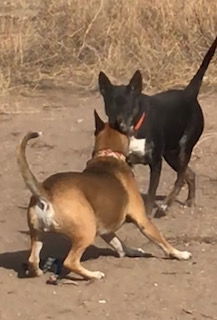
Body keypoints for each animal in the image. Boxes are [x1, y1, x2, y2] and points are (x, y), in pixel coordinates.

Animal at [17, 111, 191, 282]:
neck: (108, 154)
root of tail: (47, 192)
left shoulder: (107, 229)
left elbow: (119, 244)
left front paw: (133, 252)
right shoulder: (142, 220)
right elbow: (161, 241)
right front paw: (179, 254)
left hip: (37, 234)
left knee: (33, 259)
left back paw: (38, 271)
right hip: (86, 232)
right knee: (70, 262)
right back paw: (93, 275)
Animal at [99, 37, 217, 218]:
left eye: (129, 106)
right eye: (110, 105)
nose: (117, 124)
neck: (135, 130)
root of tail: (188, 94)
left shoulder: (156, 163)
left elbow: (151, 193)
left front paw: (147, 213)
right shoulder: (128, 163)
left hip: (183, 149)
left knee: (180, 179)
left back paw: (164, 207)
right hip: (171, 154)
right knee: (190, 174)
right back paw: (189, 200)